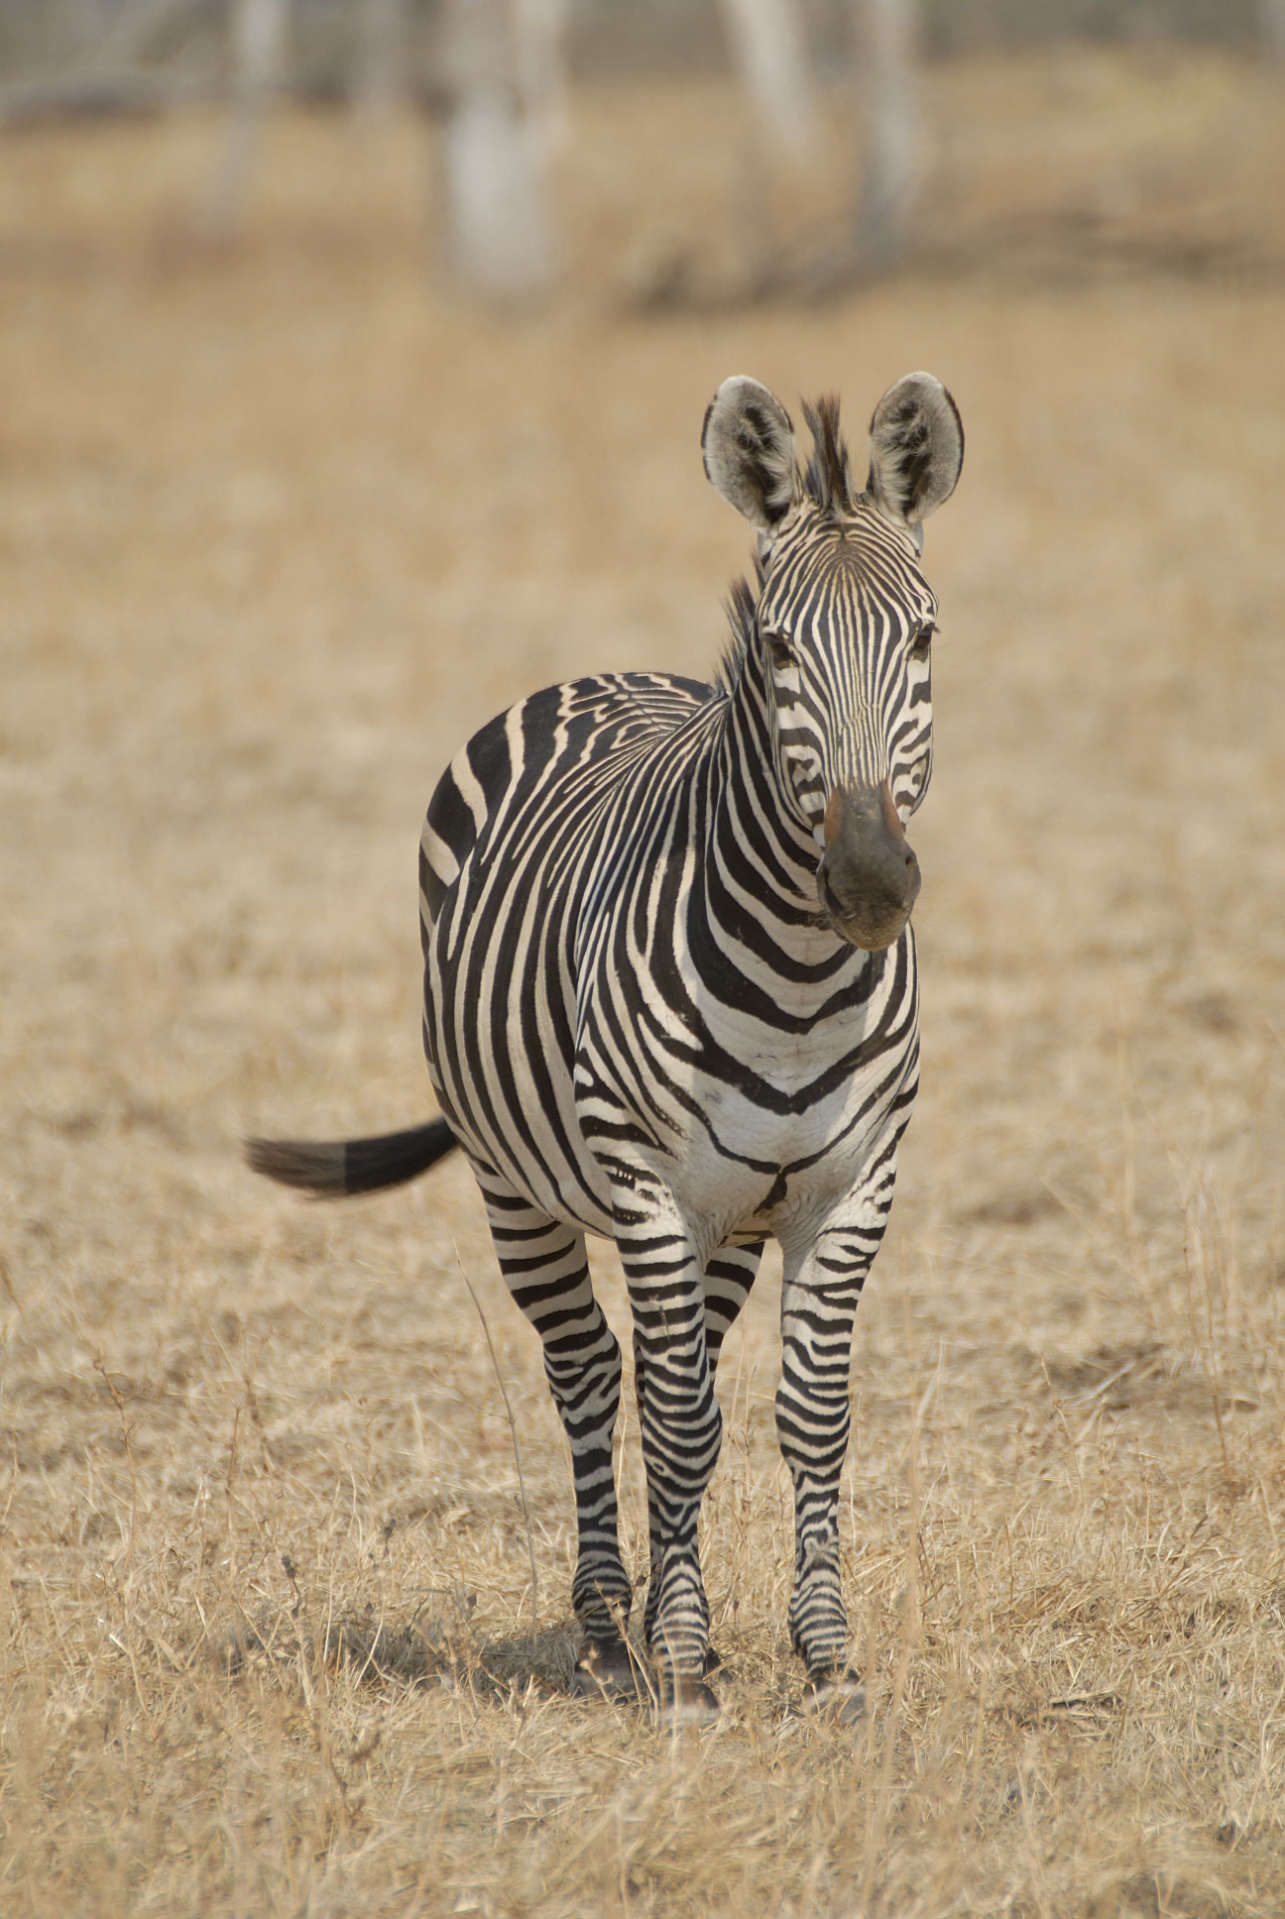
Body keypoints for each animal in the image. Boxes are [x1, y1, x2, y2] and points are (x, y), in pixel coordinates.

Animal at [248, 370, 963, 1718]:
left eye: (924, 640)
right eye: (778, 649)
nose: (868, 884)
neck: (799, 981)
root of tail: (603, 673)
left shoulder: (853, 1187)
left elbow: (807, 1416)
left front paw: (825, 1656)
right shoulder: (644, 1182)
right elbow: (674, 1420)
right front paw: (680, 1662)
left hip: (729, 1216)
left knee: (673, 1375)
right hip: (520, 1183)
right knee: (590, 1370)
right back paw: (603, 1624)